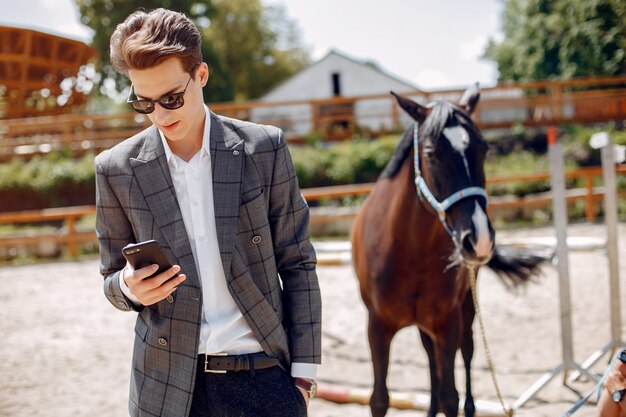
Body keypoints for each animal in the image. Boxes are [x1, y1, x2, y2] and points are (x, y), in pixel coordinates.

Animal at [352, 84, 544, 416]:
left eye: (484, 149)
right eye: (431, 154)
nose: (479, 239)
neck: (409, 253)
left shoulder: (447, 324)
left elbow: (450, 396)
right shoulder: (377, 328)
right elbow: (379, 399)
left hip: (466, 306)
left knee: (466, 353)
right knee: (431, 361)